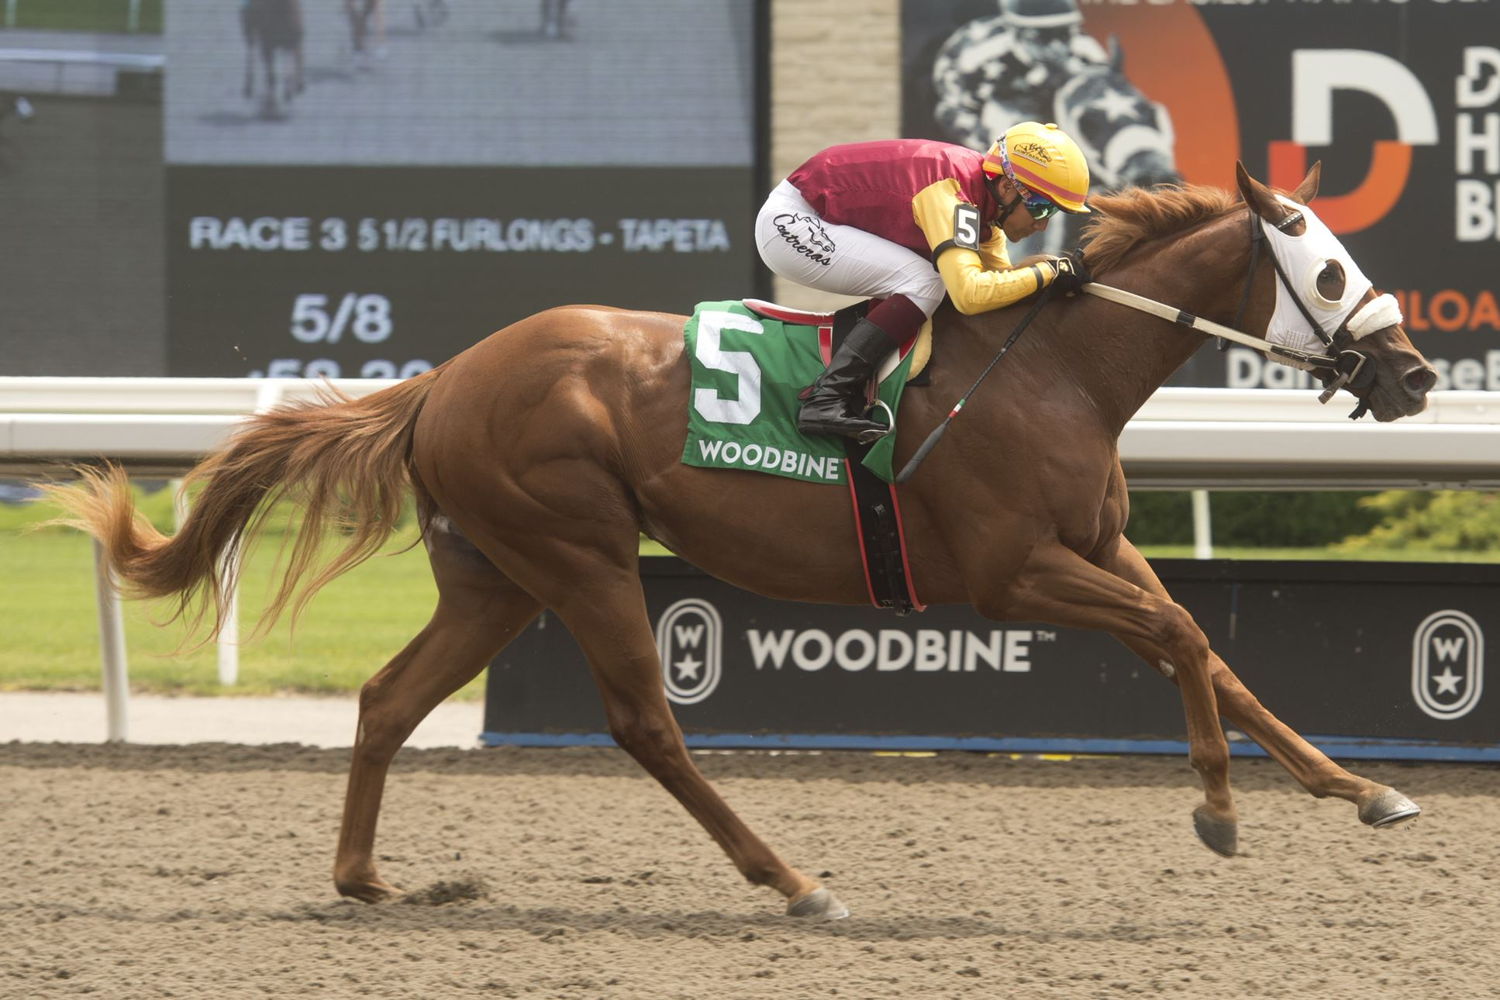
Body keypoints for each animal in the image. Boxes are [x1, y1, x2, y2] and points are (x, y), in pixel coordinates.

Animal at [52, 164, 1440, 923]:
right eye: (1326, 275)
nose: (1418, 375)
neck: (1054, 368)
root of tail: (445, 377)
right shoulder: (1012, 573)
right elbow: (1178, 637)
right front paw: (1216, 810)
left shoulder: (1102, 548)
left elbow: (1210, 646)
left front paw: (1363, 788)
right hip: (579, 553)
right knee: (645, 724)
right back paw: (793, 879)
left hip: (497, 574)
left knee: (390, 697)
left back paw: (366, 878)